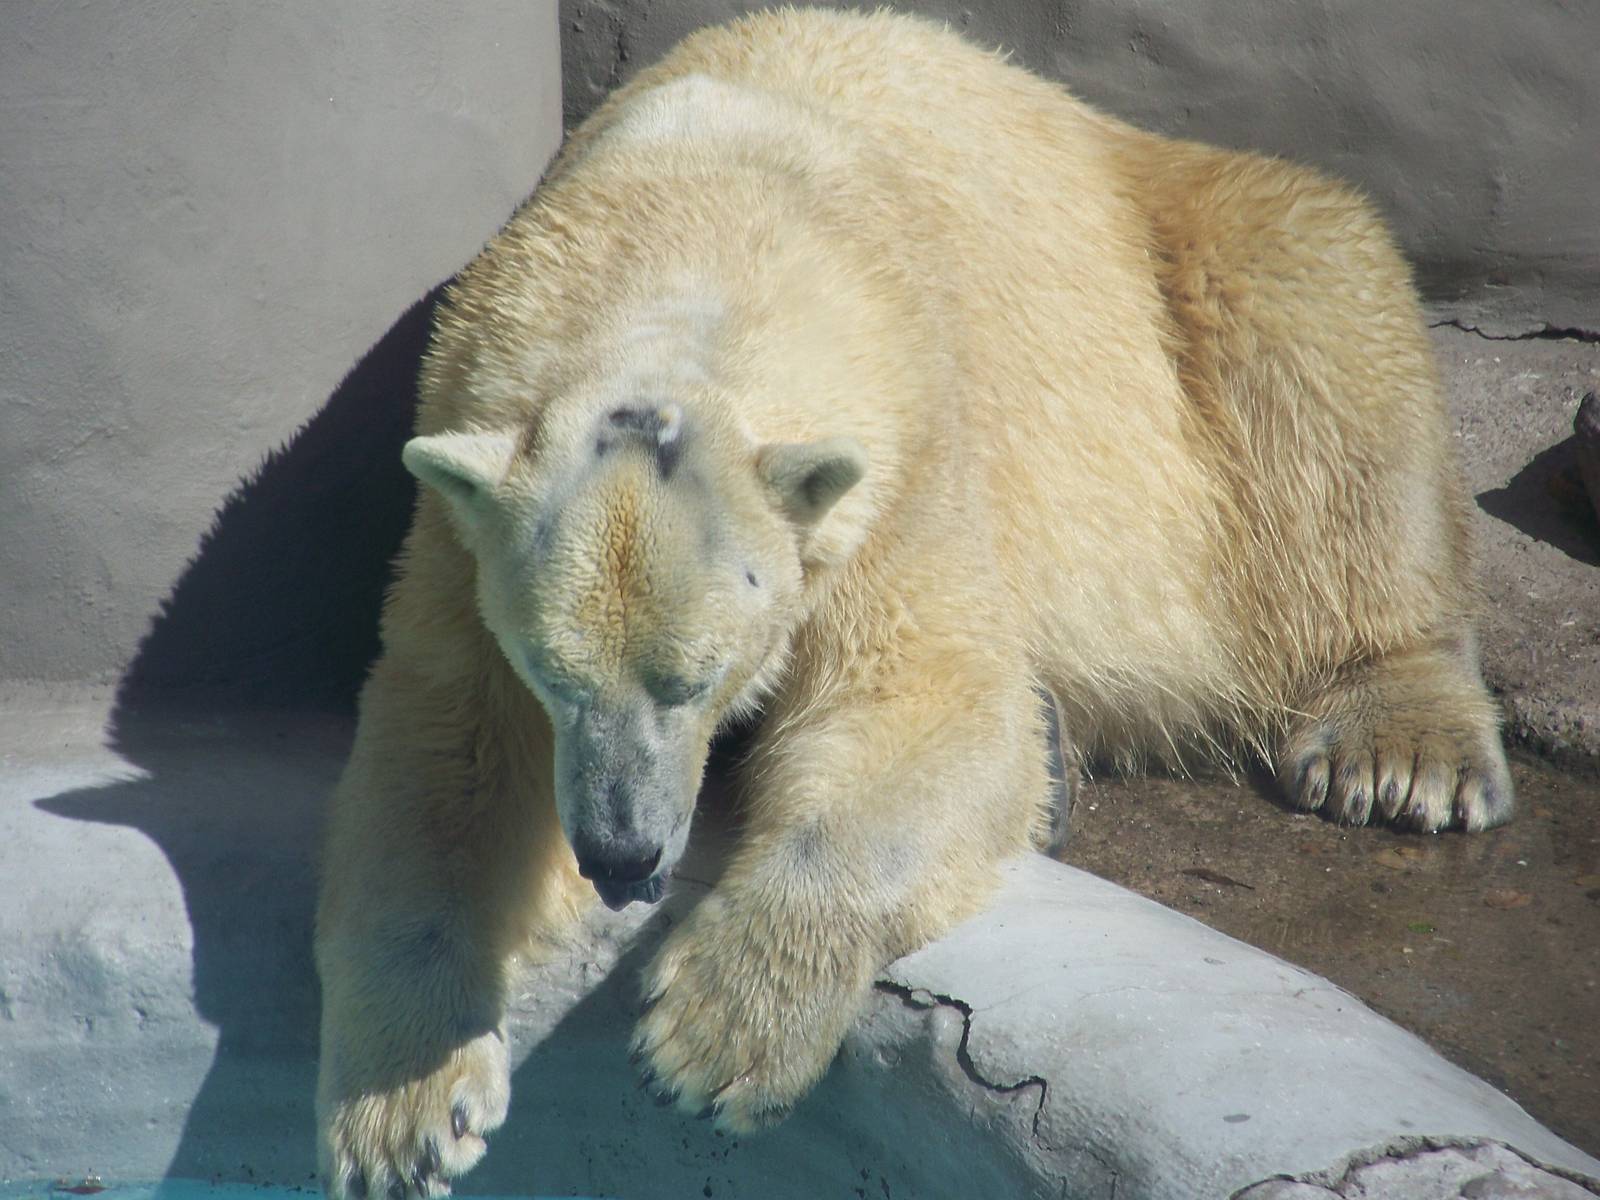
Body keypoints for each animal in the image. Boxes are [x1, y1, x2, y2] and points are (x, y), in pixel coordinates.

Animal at [314, 8, 1513, 1196]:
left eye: (696, 679)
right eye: (552, 677)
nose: (620, 854)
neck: (694, 220)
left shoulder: (904, 455)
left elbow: (928, 704)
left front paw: (716, 1034)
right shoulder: (463, 499)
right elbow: (449, 749)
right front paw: (407, 1111)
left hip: (1185, 267)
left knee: (1319, 334)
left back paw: (1400, 748)